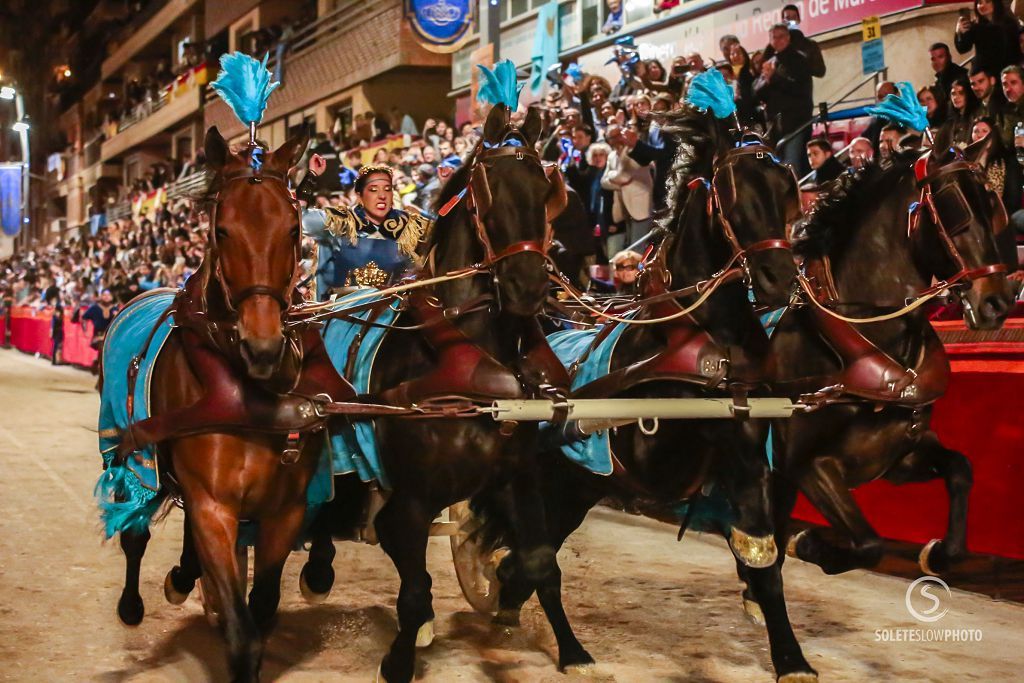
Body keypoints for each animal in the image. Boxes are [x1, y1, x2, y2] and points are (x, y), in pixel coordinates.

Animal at [104, 126, 352, 679]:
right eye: (222, 231)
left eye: (293, 231)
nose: (263, 347)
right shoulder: (213, 505)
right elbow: (243, 635)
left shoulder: (284, 510)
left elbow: (262, 607)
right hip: (124, 451)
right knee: (134, 532)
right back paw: (133, 604)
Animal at [473, 109, 823, 679]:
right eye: (732, 191)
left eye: (785, 187)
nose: (778, 277)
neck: (702, 335)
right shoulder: (656, 449)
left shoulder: (749, 448)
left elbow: (762, 553)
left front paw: (792, 658)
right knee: (534, 555)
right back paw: (570, 650)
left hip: (578, 489)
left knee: (529, 557)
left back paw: (509, 607)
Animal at [753, 139, 1015, 589]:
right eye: (955, 207)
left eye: (992, 205)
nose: (997, 302)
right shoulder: (807, 466)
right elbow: (869, 544)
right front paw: (810, 543)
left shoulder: (897, 459)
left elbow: (961, 469)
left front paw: (939, 553)